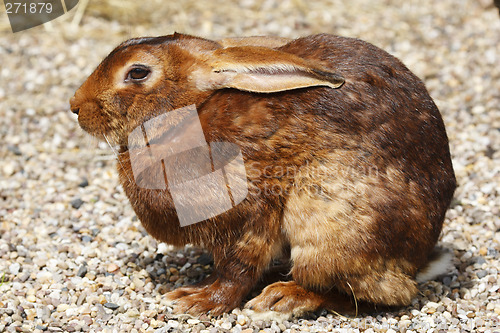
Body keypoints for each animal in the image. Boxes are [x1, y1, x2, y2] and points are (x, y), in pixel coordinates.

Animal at [70, 32, 458, 316]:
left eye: (137, 72)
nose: (75, 106)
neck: (184, 116)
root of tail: (418, 261)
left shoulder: (250, 215)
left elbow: (237, 270)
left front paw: (195, 302)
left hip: (328, 221)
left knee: (377, 293)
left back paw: (283, 298)